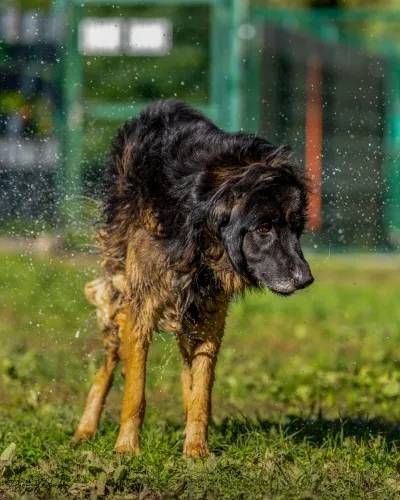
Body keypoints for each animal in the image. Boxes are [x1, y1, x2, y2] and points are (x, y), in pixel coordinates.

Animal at [73, 99, 314, 458]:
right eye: (263, 228)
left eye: (296, 228)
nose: (305, 279)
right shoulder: (143, 302)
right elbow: (135, 391)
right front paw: (126, 448)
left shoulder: (209, 313)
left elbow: (200, 390)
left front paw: (197, 450)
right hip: (121, 293)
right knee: (110, 362)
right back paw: (86, 428)